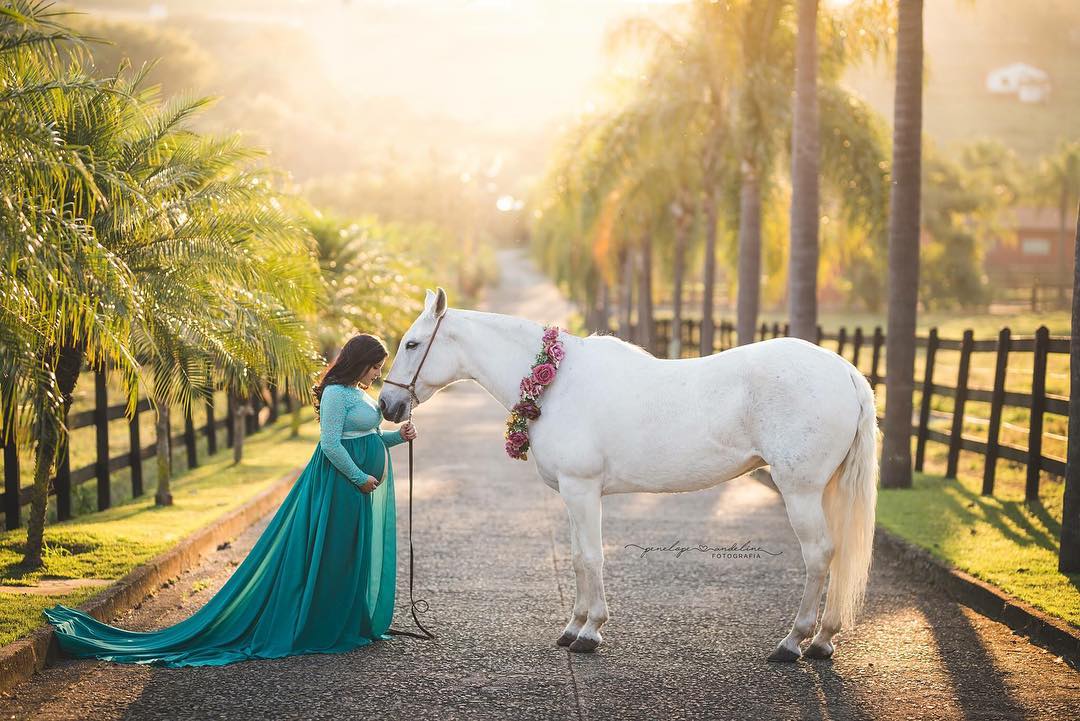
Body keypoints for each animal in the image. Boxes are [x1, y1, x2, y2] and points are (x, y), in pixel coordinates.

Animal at [379, 287, 879, 661]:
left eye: (412, 344)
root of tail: (845, 369)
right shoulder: (572, 495)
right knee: (837, 553)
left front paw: (589, 633)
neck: (554, 381)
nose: (387, 405)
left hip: (800, 490)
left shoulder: (582, 490)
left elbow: (592, 557)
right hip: (826, 490)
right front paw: (573, 627)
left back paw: (793, 642)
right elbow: (578, 557)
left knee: (819, 554)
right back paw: (823, 641)